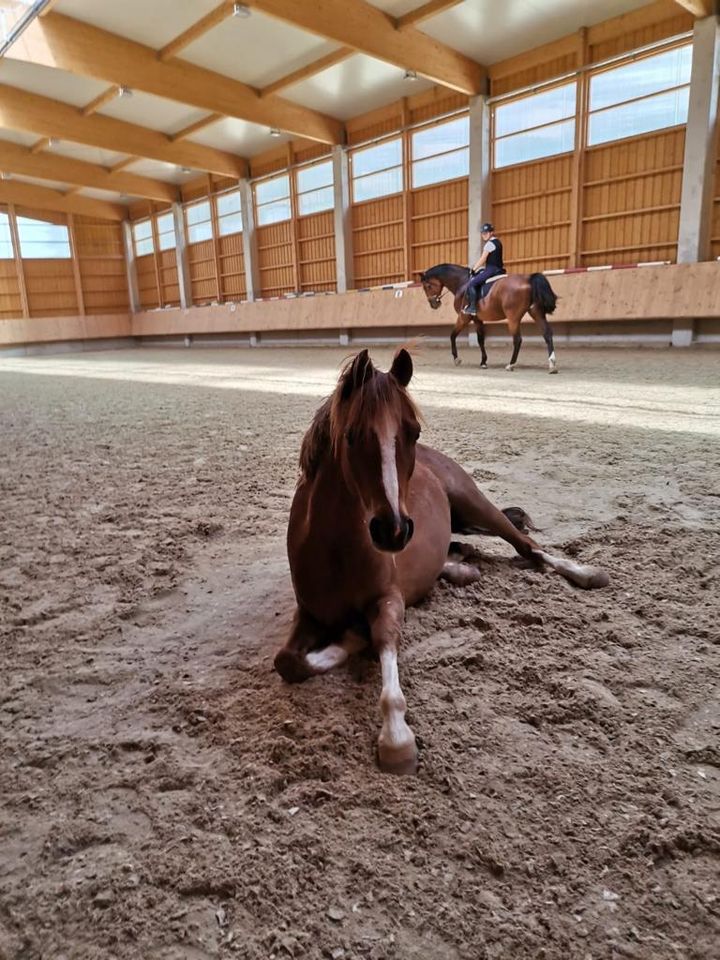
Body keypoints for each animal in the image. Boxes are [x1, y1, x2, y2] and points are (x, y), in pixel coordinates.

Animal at [274, 348, 608, 776]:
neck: (335, 548)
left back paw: (585, 573)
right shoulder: (309, 613)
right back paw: (462, 567)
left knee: (528, 547)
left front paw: (397, 740)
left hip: (478, 507)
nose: (394, 531)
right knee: (464, 551)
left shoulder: (389, 600)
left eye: (413, 432)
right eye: (351, 436)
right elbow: (288, 662)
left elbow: (382, 642)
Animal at [420, 264, 560, 374]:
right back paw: (552, 365)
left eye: (427, 286)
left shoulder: (464, 317)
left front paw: (456, 359)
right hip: (536, 313)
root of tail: (528, 279)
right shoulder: (477, 319)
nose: (433, 304)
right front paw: (483, 362)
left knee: (518, 340)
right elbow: (480, 340)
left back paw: (511, 364)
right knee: (547, 334)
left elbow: (452, 335)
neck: (462, 282)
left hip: (513, 318)